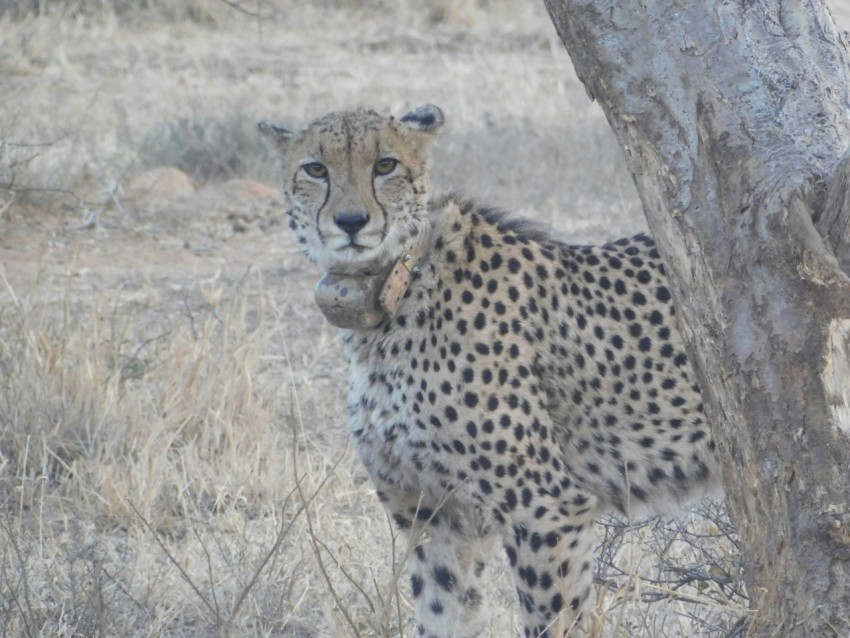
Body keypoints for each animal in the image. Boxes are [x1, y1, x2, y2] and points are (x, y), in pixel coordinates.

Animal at [259, 104, 720, 637]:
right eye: (315, 169)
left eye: (385, 165)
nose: (351, 221)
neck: (397, 287)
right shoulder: (436, 518)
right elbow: (442, 616)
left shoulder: (546, 508)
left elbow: (553, 620)